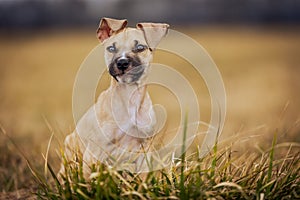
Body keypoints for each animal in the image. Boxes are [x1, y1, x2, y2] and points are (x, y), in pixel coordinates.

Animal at [59, 16, 169, 177]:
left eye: (140, 48)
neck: (129, 97)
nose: (122, 62)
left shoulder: (144, 152)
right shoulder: (93, 153)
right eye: (111, 48)